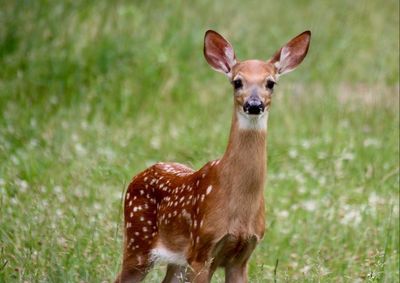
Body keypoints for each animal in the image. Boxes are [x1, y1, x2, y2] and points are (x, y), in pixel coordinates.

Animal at [114, 29, 310, 283]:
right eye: (237, 82)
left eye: (271, 83)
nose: (254, 104)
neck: (240, 207)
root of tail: (139, 175)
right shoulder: (202, 250)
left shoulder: (242, 256)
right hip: (138, 240)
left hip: (175, 260)